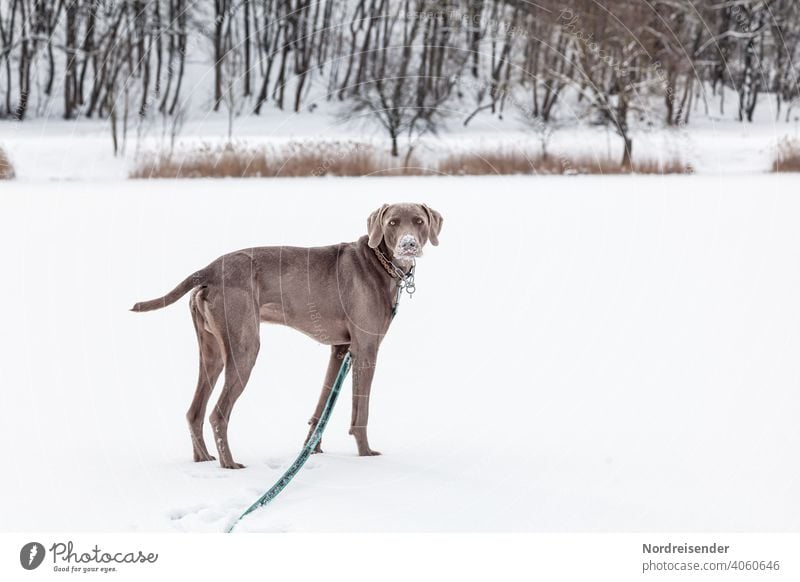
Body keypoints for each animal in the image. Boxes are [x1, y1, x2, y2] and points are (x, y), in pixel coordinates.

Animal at [132, 204, 444, 470]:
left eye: (419, 221)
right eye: (392, 223)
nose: (408, 244)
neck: (379, 263)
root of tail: (207, 270)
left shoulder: (341, 349)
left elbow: (321, 408)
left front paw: (312, 450)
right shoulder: (366, 348)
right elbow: (361, 411)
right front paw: (366, 454)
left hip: (212, 351)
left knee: (194, 412)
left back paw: (203, 459)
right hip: (245, 347)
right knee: (218, 413)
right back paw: (229, 464)